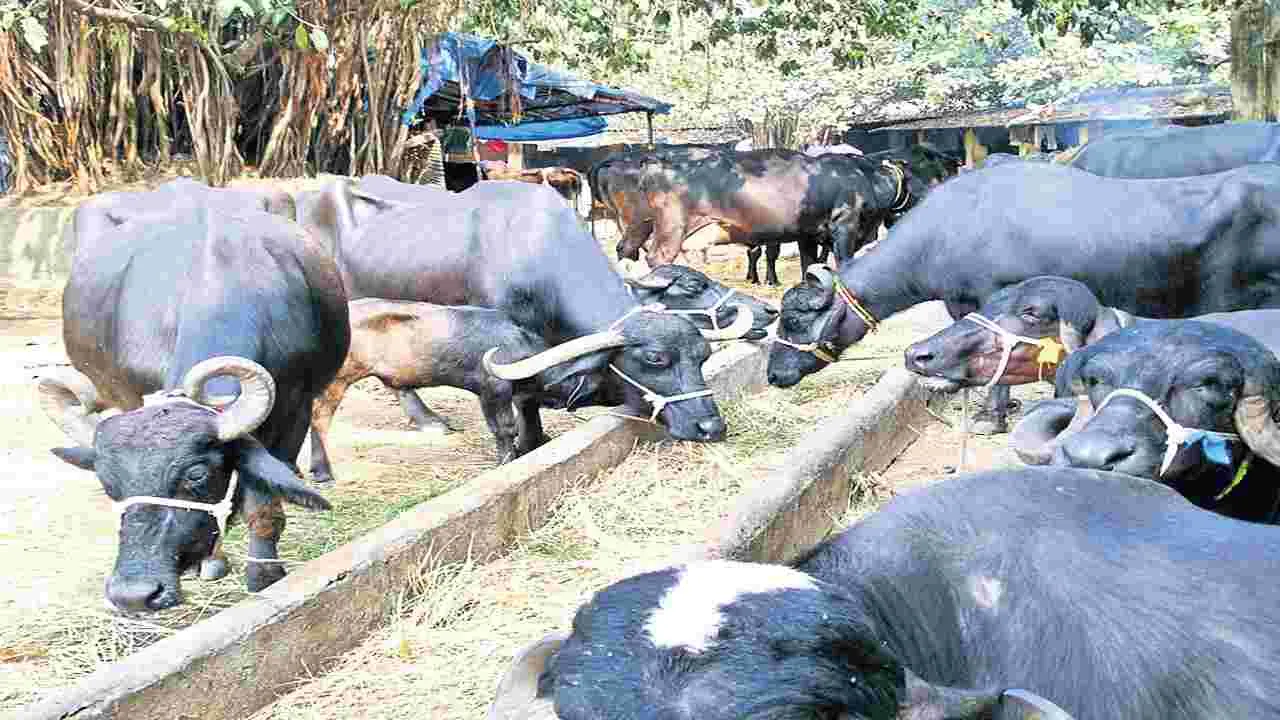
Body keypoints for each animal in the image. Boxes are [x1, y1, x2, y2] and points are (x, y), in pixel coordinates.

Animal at [38, 205, 348, 613]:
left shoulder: (294, 410)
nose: (134, 595)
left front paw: (264, 575)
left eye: (196, 474)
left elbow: (264, 504)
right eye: (108, 482)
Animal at [297, 177, 756, 447]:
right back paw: (427, 420)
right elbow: (525, 401)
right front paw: (529, 443)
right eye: (654, 359)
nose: (711, 428)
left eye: (703, 358)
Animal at [309, 300, 569, 483]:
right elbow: (504, 428)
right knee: (319, 419)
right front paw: (507, 461)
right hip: (336, 381)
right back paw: (323, 473)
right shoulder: (493, 390)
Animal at [620, 150, 917, 285]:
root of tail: (656, 161)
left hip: (642, 223)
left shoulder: (807, 233)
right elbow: (843, 262)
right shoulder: (845, 225)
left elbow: (809, 264)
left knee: (626, 248)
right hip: (672, 227)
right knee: (657, 258)